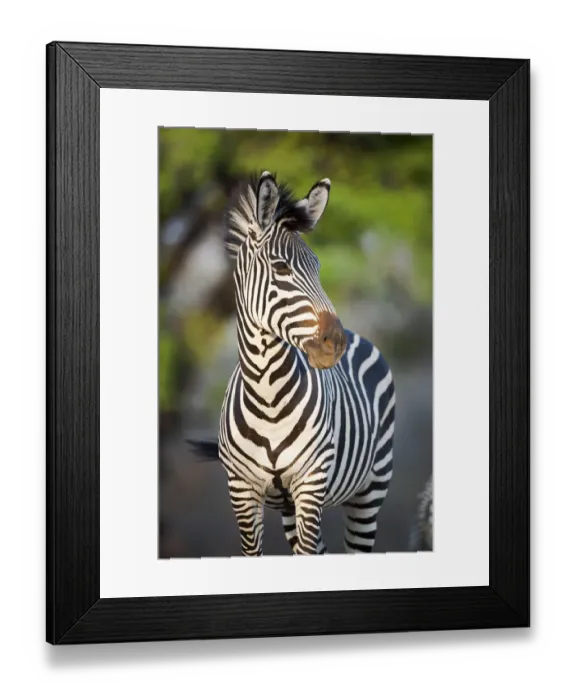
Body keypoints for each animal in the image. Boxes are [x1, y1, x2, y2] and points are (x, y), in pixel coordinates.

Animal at [189, 171, 396, 556]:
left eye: (318, 267)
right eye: (281, 268)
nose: (336, 343)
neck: (267, 394)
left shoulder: (311, 484)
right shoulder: (241, 490)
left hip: (370, 491)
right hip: (289, 509)